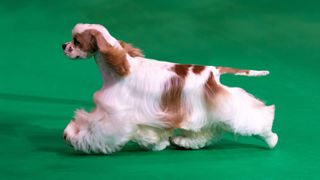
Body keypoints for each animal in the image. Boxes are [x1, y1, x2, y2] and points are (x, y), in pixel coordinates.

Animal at [62, 23, 278, 154]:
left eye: (76, 41)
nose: (63, 45)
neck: (119, 69)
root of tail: (212, 71)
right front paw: (158, 143)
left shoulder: (115, 113)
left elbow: (95, 127)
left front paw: (74, 136)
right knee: (204, 133)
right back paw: (182, 141)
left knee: (257, 119)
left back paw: (271, 139)